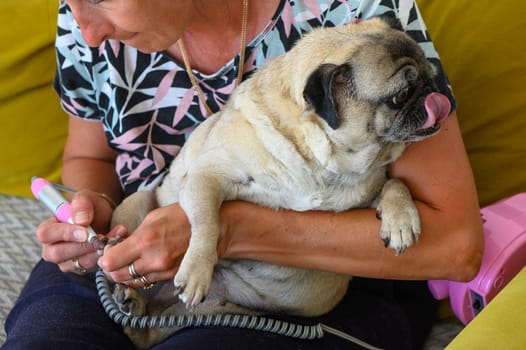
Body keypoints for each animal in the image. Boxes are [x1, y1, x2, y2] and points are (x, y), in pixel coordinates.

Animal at [112, 15, 454, 348]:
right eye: (401, 95)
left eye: (431, 74)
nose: (434, 92)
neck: (321, 157)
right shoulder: (207, 176)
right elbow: (207, 222)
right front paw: (197, 269)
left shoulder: (365, 193)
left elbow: (396, 185)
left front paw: (401, 221)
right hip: (137, 204)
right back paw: (125, 289)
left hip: (212, 312)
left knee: (147, 332)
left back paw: (133, 307)